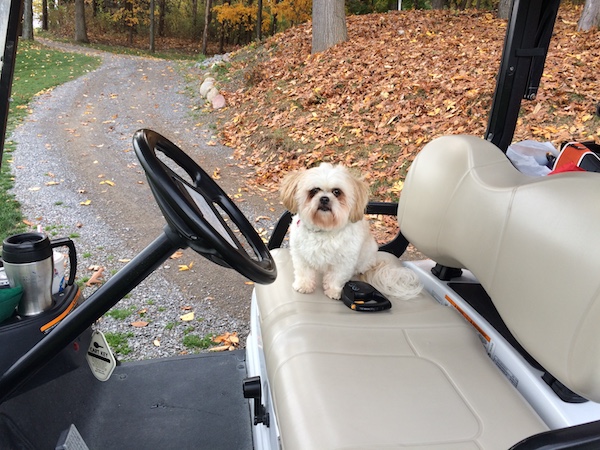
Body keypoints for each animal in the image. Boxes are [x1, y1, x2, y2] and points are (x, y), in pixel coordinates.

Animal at [278, 163, 422, 300]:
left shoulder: (344, 262)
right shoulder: (301, 255)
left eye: (337, 192)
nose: (324, 198)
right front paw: (304, 285)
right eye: (314, 190)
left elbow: (336, 277)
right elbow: (304, 272)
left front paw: (333, 291)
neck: (324, 228)